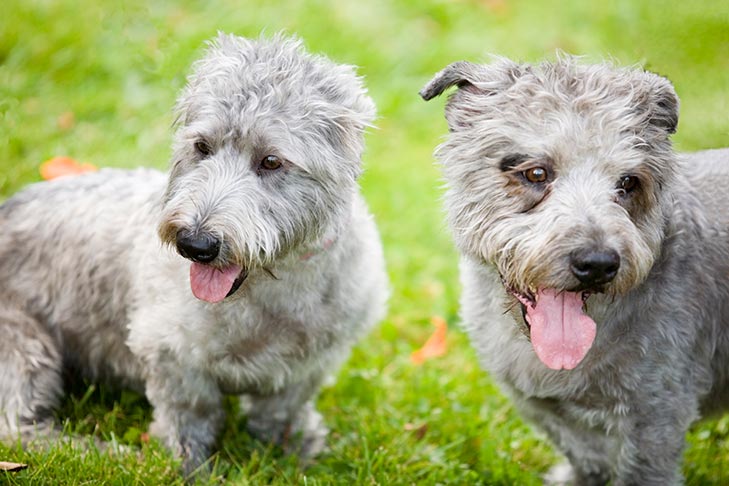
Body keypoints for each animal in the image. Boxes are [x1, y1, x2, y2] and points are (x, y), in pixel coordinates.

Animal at [0, 33, 386, 474]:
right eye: (202, 146)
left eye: (272, 160)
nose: (194, 244)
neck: (273, 288)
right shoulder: (169, 353)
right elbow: (192, 412)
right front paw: (187, 465)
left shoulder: (314, 361)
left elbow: (283, 407)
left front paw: (293, 447)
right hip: (24, 344)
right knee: (18, 427)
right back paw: (99, 451)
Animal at [418, 55, 728, 484]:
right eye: (536, 173)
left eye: (628, 182)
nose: (597, 264)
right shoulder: (548, 409)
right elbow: (586, 457)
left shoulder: (656, 419)